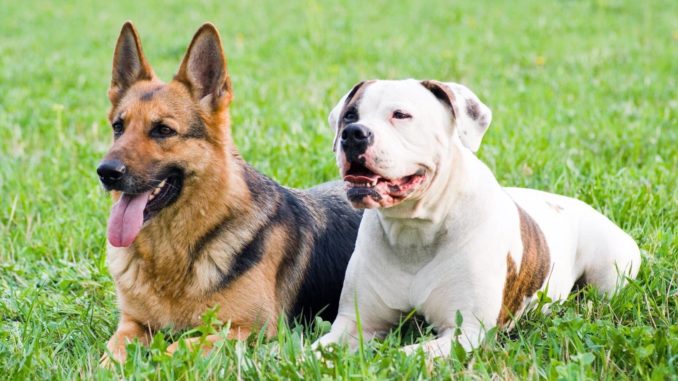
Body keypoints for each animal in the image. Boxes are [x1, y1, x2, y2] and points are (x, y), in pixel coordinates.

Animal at [99, 23, 364, 362]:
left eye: (163, 130)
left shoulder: (248, 330)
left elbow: (176, 348)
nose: (106, 172)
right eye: (118, 127)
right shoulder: (132, 324)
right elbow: (112, 351)